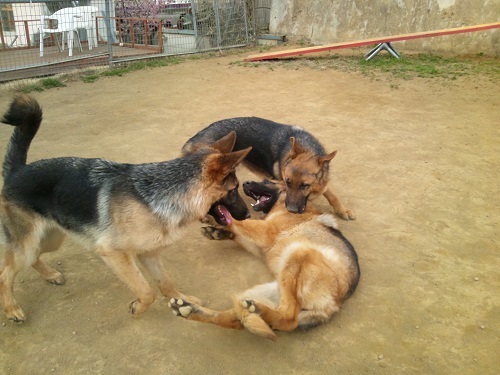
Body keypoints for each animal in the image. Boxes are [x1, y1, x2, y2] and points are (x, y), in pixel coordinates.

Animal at [0, 94, 250, 324]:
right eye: (233, 189)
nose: (248, 214)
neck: (162, 192)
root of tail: (18, 171)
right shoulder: (114, 254)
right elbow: (146, 291)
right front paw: (138, 308)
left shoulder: (149, 252)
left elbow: (166, 282)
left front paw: (183, 299)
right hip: (28, 244)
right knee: (6, 274)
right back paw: (12, 310)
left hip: (52, 238)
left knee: (33, 258)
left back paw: (50, 275)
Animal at [169, 181, 360, 342]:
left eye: (267, 181)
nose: (245, 183)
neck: (283, 204)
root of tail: (333, 306)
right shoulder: (259, 244)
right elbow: (238, 230)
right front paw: (217, 229)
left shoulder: (265, 231)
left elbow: (238, 221)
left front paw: (222, 219)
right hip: (259, 292)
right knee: (236, 321)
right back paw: (189, 310)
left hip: (297, 254)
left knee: (289, 318)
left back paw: (260, 310)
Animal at [183, 116, 356, 219]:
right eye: (287, 182)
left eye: (304, 185)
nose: (291, 210)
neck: (308, 148)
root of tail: (193, 140)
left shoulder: (323, 183)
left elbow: (332, 195)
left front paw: (342, 210)